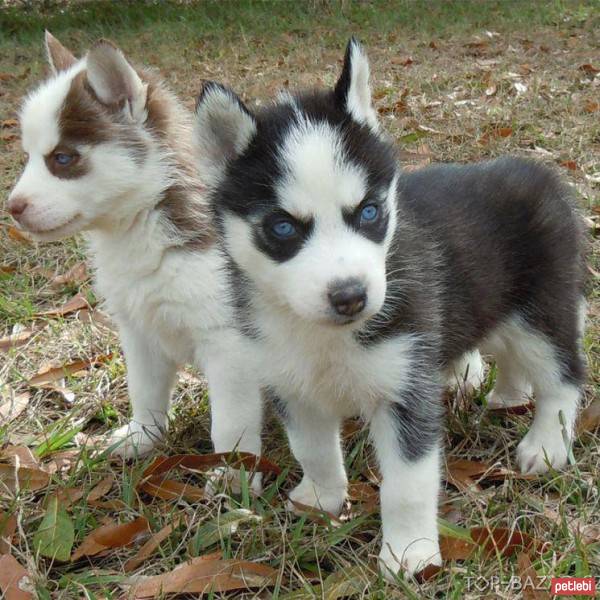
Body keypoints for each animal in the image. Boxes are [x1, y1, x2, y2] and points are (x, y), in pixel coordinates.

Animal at [4, 34, 262, 474]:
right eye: (29, 155)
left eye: (63, 158)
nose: (12, 208)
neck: (139, 229)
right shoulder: (139, 331)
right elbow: (145, 391)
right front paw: (143, 437)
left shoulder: (230, 344)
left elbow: (231, 424)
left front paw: (232, 472)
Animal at [196, 41, 584, 576]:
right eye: (283, 227)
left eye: (369, 212)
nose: (351, 296)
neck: (326, 337)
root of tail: (539, 172)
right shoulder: (292, 383)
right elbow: (311, 449)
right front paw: (321, 498)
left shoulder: (407, 389)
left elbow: (406, 486)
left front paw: (410, 555)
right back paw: (508, 395)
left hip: (541, 313)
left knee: (564, 377)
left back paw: (545, 445)